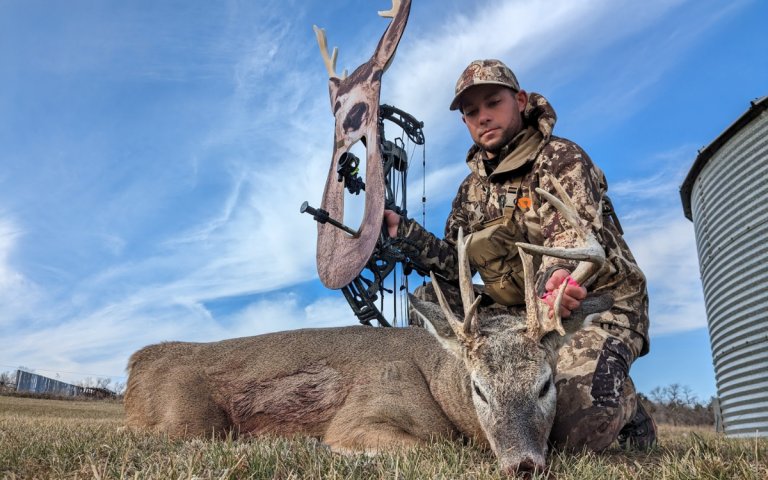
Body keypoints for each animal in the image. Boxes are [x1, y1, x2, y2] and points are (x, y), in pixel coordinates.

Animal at [124, 175, 610, 475]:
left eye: (546, 384)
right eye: (479, 389)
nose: (523, 464)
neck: (437, 381)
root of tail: (136, 367)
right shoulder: (362, 414)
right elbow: (434, 444)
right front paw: (316, 445)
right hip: (190, 419)